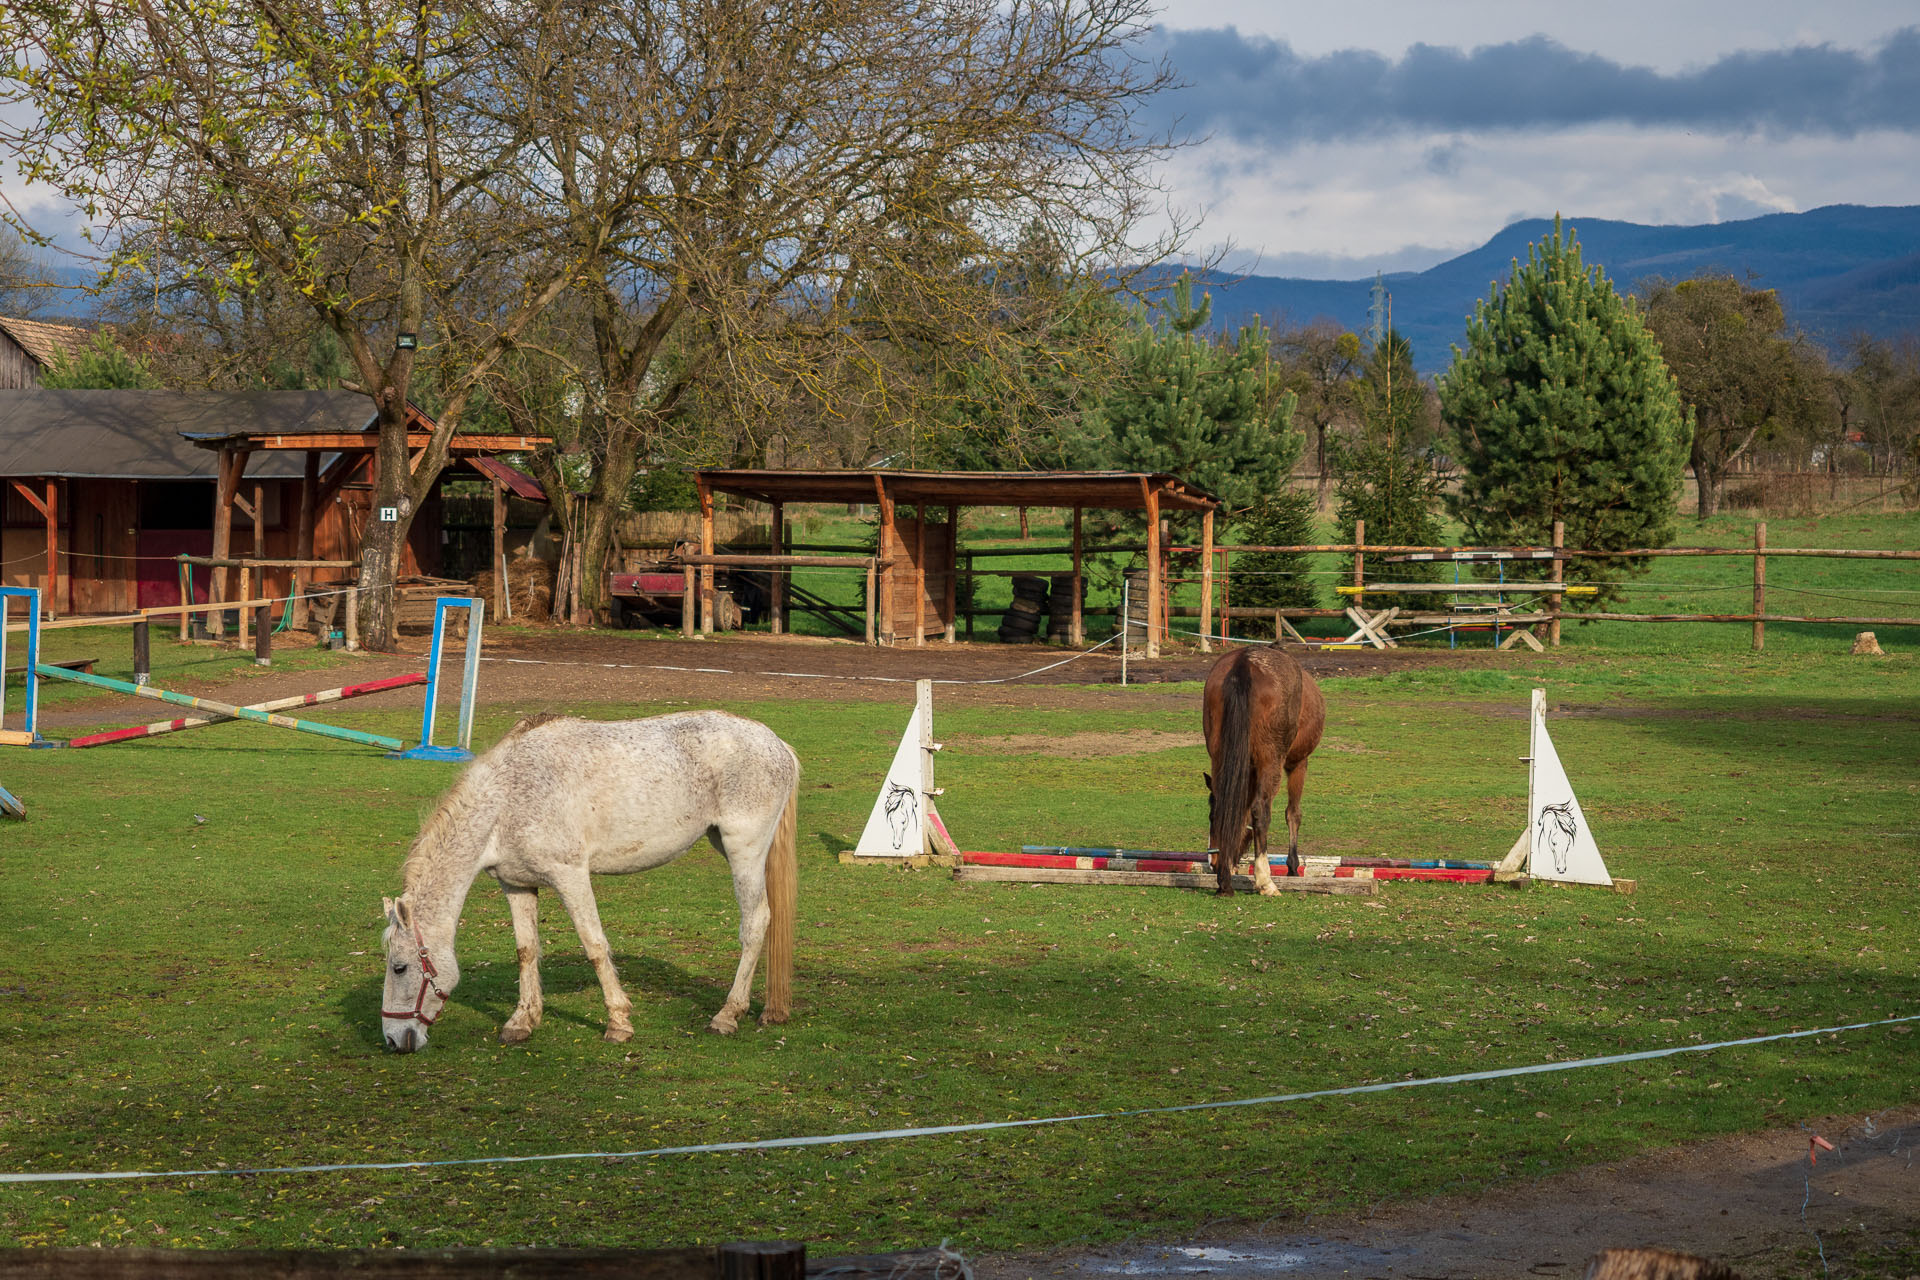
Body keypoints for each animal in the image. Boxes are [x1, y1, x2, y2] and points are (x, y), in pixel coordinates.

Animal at [378, 710, 798, 1051]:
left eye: (399, 967)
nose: (394, 1040)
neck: (508, 799)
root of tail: (778, 745)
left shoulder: (570, 875)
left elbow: (594, 945)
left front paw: (618, 1022)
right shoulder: (517, 885)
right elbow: (526, 951)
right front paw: (522, 1021)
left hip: (744, 850)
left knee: (756, 922)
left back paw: (727, 1015)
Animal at [1198, 644, 1320, 898]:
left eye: (1210, 818)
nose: (1212, 863)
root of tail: (1244, 662)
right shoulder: (1298, 763)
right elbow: (1293, 813)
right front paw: (1292, 868)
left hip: (1220, 753)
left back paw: (1225, 882)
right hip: (1271, 759)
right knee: (1260, 811)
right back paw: (1266, 881)